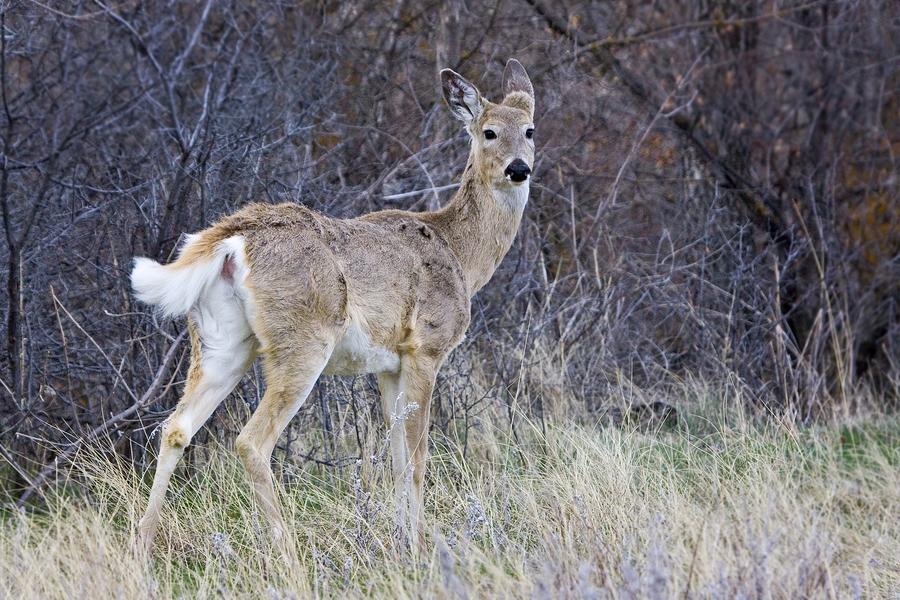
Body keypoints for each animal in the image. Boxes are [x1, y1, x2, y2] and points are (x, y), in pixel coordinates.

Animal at [134, 58, 536, 556]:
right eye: (489, 132)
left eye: (530, 130)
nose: (519, 168)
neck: (460, 253)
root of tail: (232, 239)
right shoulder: (426, 346)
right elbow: (418, 455)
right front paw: (421, 547)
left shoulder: (389, 364)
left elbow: (397, 456)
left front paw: (400, 543)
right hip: (304, 337)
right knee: (251, 441)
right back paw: (288, 554)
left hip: (222, 341)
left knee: (176, 427)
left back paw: (142, 545)